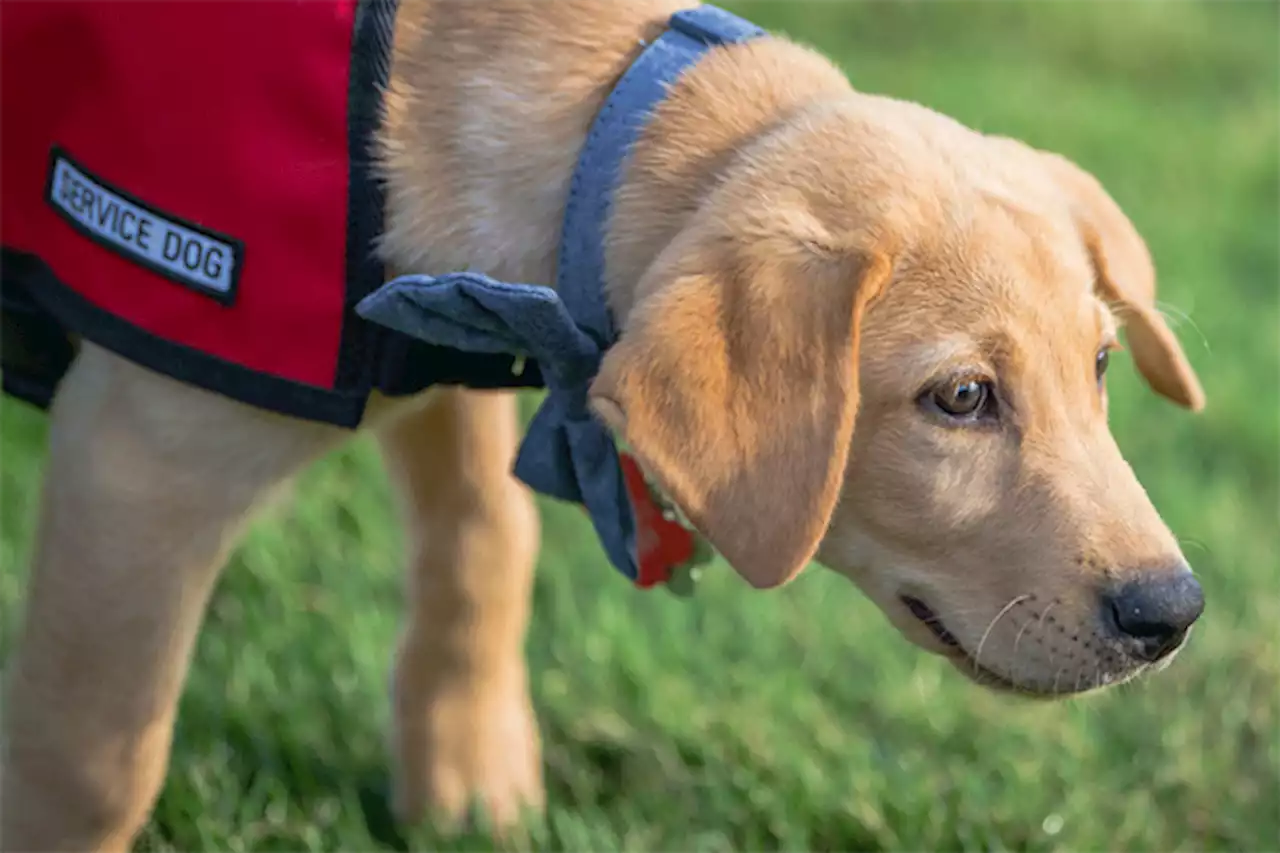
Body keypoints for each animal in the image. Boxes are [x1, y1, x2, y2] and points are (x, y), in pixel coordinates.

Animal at [0, 0, 1203, 845]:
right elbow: (94, 758)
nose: (1173, 612)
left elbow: (484, 544)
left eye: (1100, 365)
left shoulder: (459, 338)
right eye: (959, 398)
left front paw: (467, 781)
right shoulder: (139, 457)